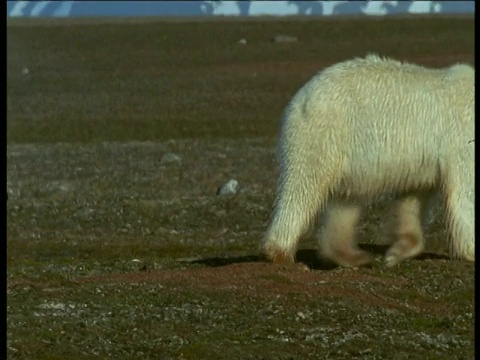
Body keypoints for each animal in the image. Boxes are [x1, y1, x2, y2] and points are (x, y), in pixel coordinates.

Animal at [264, 53, 474, 268]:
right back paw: (281, 253)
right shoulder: (461, 139)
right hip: (325, 135)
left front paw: (396, 252)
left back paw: (353, 256)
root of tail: (301, 97)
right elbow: (465, 191)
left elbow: (413, 196)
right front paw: (471, 250)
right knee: (304, 186)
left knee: (345, 202)